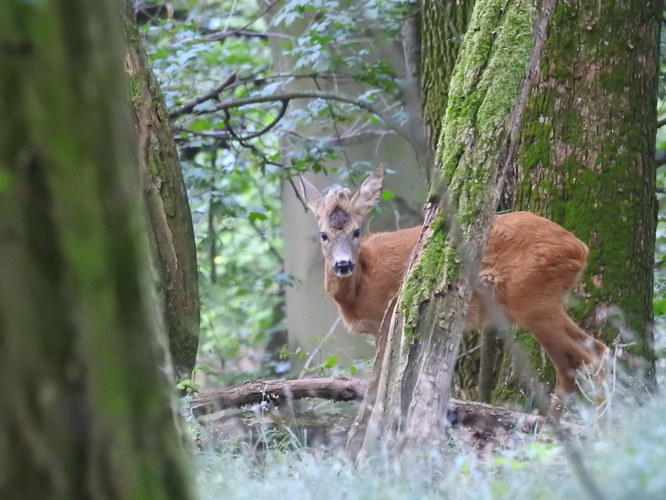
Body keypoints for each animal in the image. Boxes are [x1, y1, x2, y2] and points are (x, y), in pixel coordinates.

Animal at [300, 167, 608, 422]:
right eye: (324, 235)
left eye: (356, 232)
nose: (343, 265)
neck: (360, 286)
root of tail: (579, 247)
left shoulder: (388, 317)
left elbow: (378, 383)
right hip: (542, 301)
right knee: (584, 358)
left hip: (533, 299)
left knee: (588, 357)